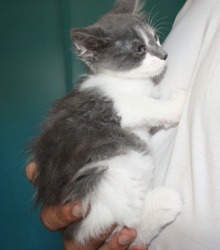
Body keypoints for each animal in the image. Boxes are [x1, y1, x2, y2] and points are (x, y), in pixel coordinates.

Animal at [30, 0, 185, 246]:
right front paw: (177, 103)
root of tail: (74, 230)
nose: (164, 55)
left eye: (155, 37)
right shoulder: (118, 106)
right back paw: (165, 202)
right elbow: (151, 107)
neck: (122, 80)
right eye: (139, 49)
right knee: (125, 224)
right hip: (109, 177)